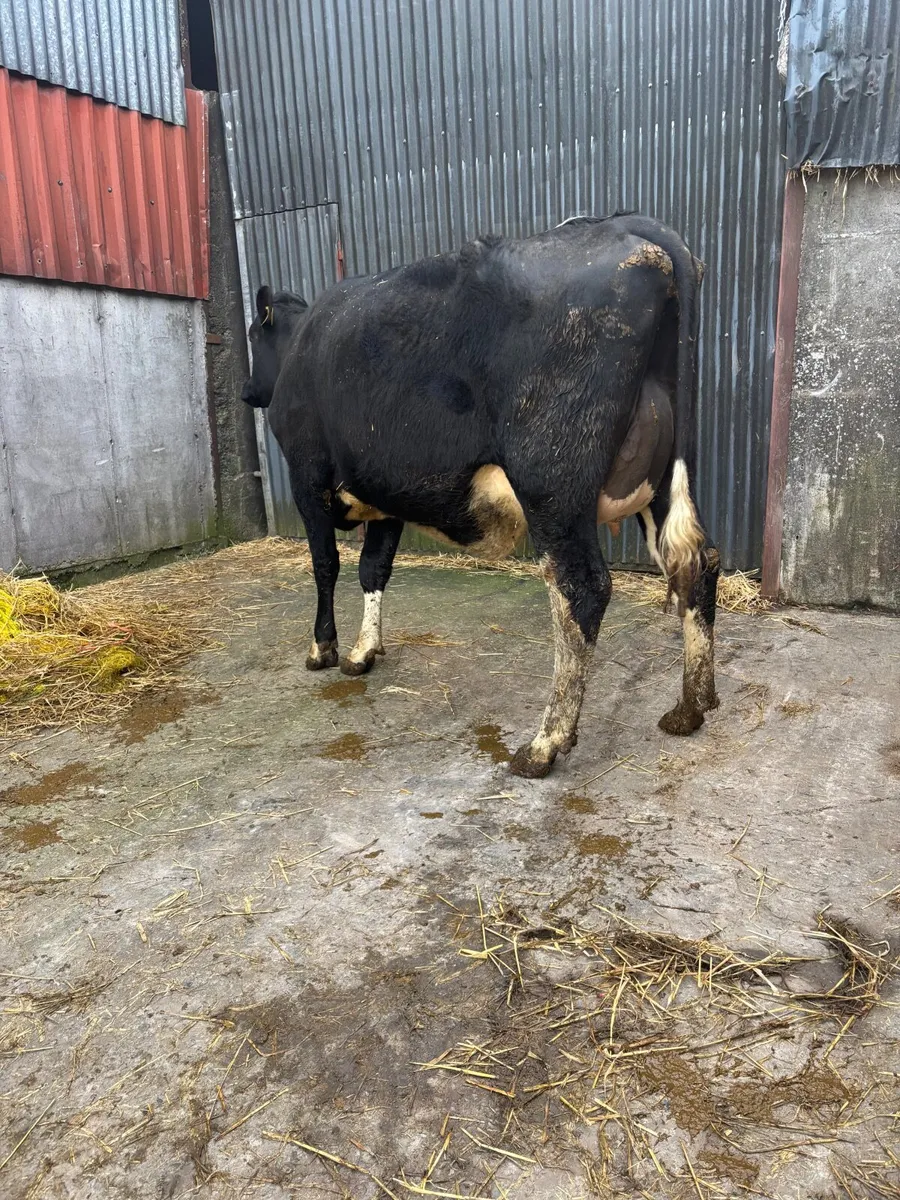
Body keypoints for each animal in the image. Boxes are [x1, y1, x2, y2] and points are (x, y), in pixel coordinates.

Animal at [241, 214, 720, 778]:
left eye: (253, 335)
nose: (247, 392)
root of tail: (628, 227)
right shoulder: (388, 493)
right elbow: (373, 568)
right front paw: (363, 652)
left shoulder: (307, 475)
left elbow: (325, 565)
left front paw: (323, 650)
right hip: (662, 481)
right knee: (696, 565)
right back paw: (690, 708)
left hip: (550, 484)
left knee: (582, 588)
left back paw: (545, 743)